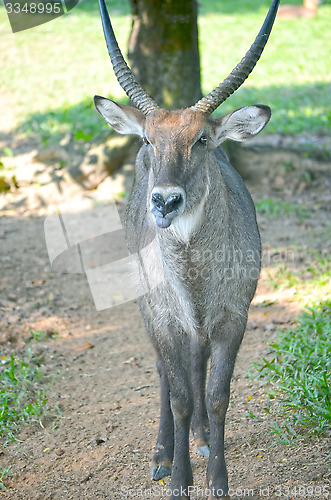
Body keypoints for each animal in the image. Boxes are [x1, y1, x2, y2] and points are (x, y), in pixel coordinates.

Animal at [94, 0, 282, 496]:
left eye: (201, 139)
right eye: (148, 139)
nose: (164, 201)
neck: (195, 275)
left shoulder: (234, 315)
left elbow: (217, 395)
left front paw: (217, 479)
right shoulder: (163, 316)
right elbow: (177, 394)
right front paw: (178, 478)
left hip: (200, 324)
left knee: (197, 363)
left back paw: (199, 439)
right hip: (153, 311)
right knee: (166, 371)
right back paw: (164, 453)